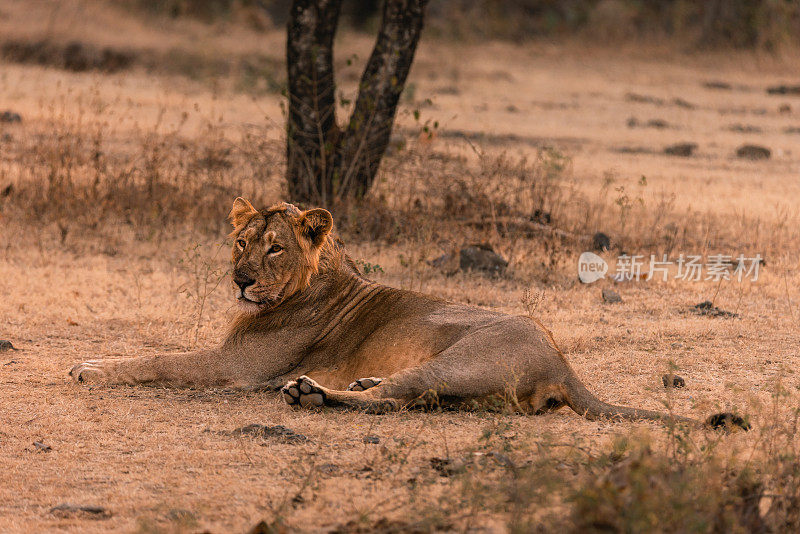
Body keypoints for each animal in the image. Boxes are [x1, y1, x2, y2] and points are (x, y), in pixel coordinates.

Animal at [72, 198, 748, 432]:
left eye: (275, 248)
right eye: (241, 242)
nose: (240, 279)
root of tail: (563, 362)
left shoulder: (235, 367)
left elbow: (158, 359)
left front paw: (89, 368)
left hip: (456, 361)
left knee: (392, 401)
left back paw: (311, 394)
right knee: (399, 397)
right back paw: (351, 383)